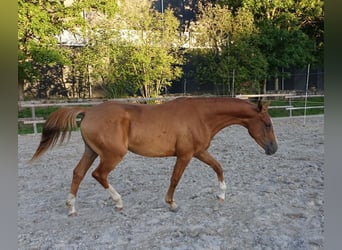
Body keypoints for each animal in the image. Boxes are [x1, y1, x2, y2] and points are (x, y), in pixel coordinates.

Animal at [30, 96, 278, 216]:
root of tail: (89, 112)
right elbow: (175, 178)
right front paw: (172, 204)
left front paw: (222, 195)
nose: (274, 149)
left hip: (90, 152)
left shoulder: (199, 152)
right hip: (112, 155)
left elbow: (218, 167)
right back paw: (118, 202)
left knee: (78, 174)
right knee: (98, 175)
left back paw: (72, 207)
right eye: (267, 123)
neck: (201, 115)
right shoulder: (186, 155)